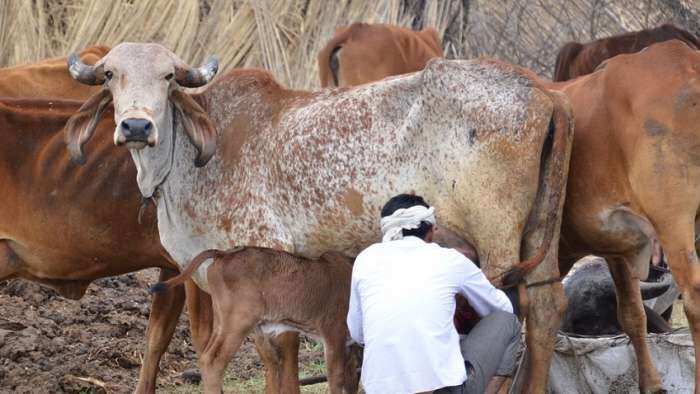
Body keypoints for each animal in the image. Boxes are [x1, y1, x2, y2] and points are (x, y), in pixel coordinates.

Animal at [152, 248, 360, 394]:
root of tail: (223, 254)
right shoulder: (334, 334)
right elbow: (336, 379)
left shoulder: (350, 345)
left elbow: (352, 378)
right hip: (238, 323)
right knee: (212, 361)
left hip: (222, 321)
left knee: (205, 357)